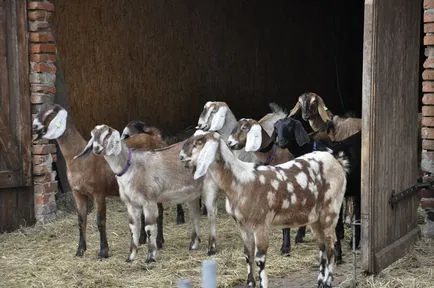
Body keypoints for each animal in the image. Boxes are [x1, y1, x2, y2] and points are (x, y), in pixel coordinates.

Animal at [181, 132, 350, 288]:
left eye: (200, 141)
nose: (181, 156)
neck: (238, 181)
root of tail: (337, 161)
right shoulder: (243, 226)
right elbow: (248, 254)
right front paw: (250, 283)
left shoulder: (260, 224)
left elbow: (259, 258)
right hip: (315, 218)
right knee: (322, 247)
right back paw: (320, 281)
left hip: (330, 211)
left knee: (331, 245)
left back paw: (328, 281)